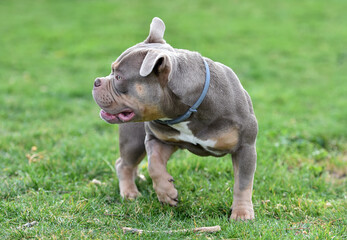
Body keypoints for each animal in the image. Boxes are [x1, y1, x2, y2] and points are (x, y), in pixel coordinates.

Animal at [92, 17, 258, 221]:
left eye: (118, 77)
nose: (96, 81)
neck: (188, 109)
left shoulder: (245, 147)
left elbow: (243, 183)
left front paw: (242, 213)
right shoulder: (158, 139)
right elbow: (154, 164)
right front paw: (167, 193)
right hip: (134, 139)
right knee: (124, 164)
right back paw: (130, 192)